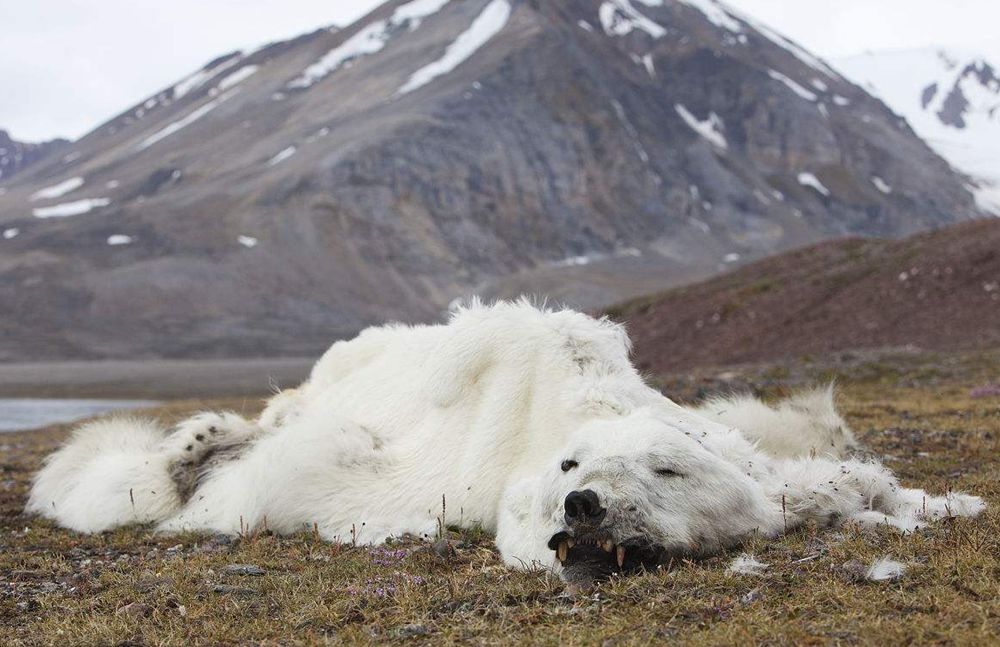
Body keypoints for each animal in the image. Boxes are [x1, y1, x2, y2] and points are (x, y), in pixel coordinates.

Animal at [27, 302, 980, 580]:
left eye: (667, 467)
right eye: (570, 466)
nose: (585, 503)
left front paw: (930, 499)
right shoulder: (453, 455)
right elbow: (328, 468)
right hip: (325, 374)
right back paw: (200, 439)